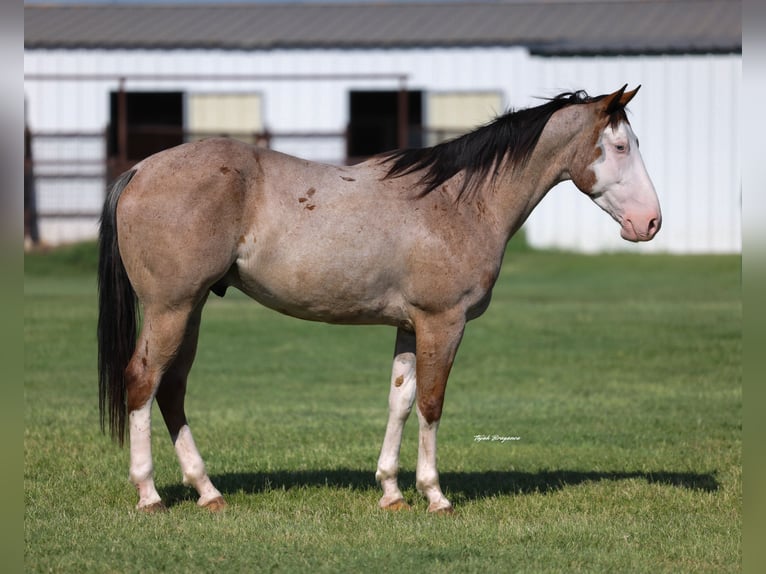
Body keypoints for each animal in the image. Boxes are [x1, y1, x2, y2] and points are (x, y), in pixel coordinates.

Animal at [98, 85, 661, 513]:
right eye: (619, 147)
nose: (651, 222)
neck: (457, 201)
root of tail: (141, 170)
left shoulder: (410, 326)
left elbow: (401, 400)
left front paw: (391, 491)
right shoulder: (443, 322)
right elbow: (432, 402)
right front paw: (435, 495)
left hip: (190, 310)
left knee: (171, 389)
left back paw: (207, 490)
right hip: (171, 309)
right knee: (142, 381)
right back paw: (149, 494)